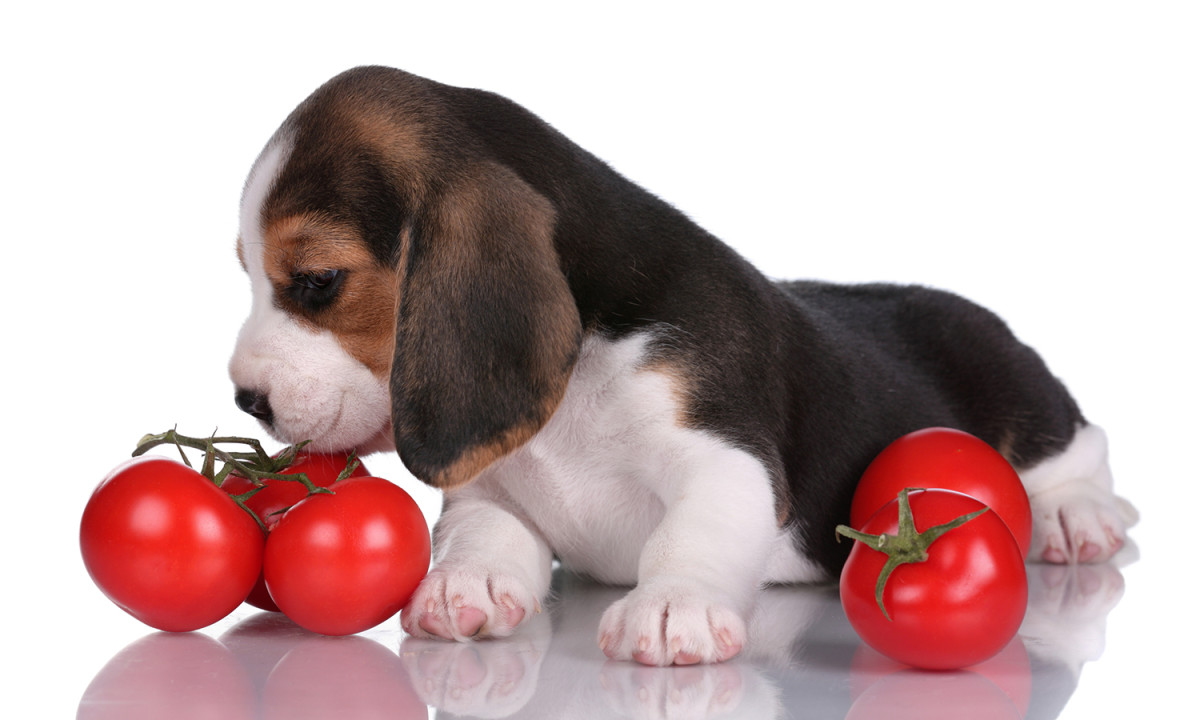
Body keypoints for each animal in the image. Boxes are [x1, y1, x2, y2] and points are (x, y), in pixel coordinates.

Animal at [229, 66, 1137, 662]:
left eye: (317, 281)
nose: (246, 399)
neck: (582, 373)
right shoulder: (489, 488)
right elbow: (483, 532)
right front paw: (466, 586)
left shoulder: (726, 460)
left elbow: (690, 533)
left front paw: (672, 610)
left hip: (1013, 386)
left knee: (1079, 449)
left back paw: (1076, 517)